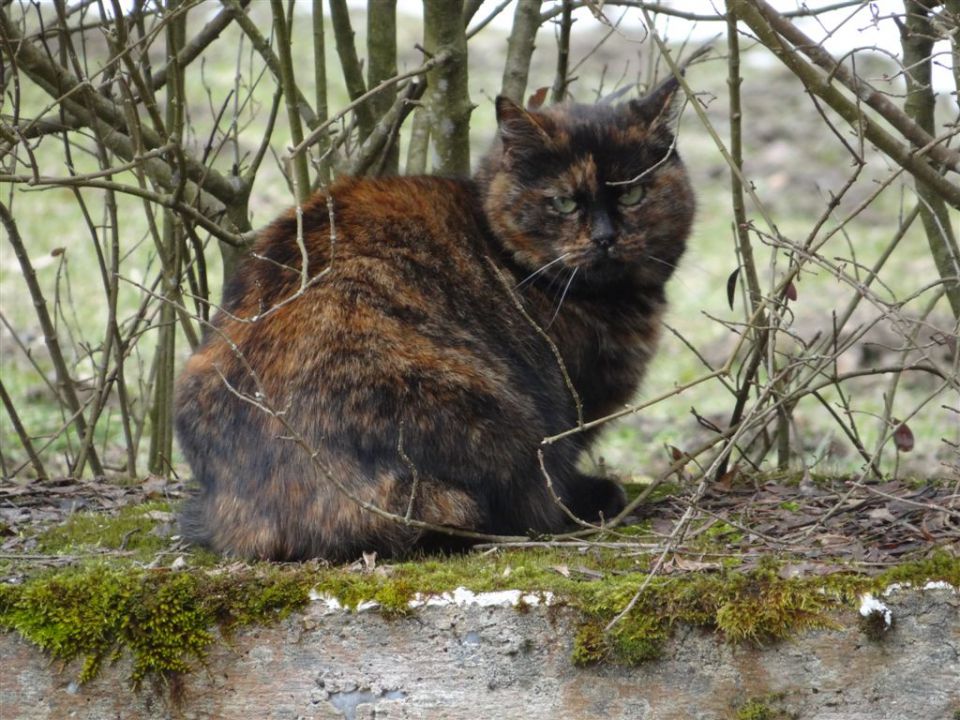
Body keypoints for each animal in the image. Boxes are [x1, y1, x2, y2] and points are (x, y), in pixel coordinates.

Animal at [176, 79, 692, 564]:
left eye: (635, 194)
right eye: (564, 202)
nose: (606, 237)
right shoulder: (568, 409)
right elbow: (556, 477)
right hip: (492, 412)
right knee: (517, 505)